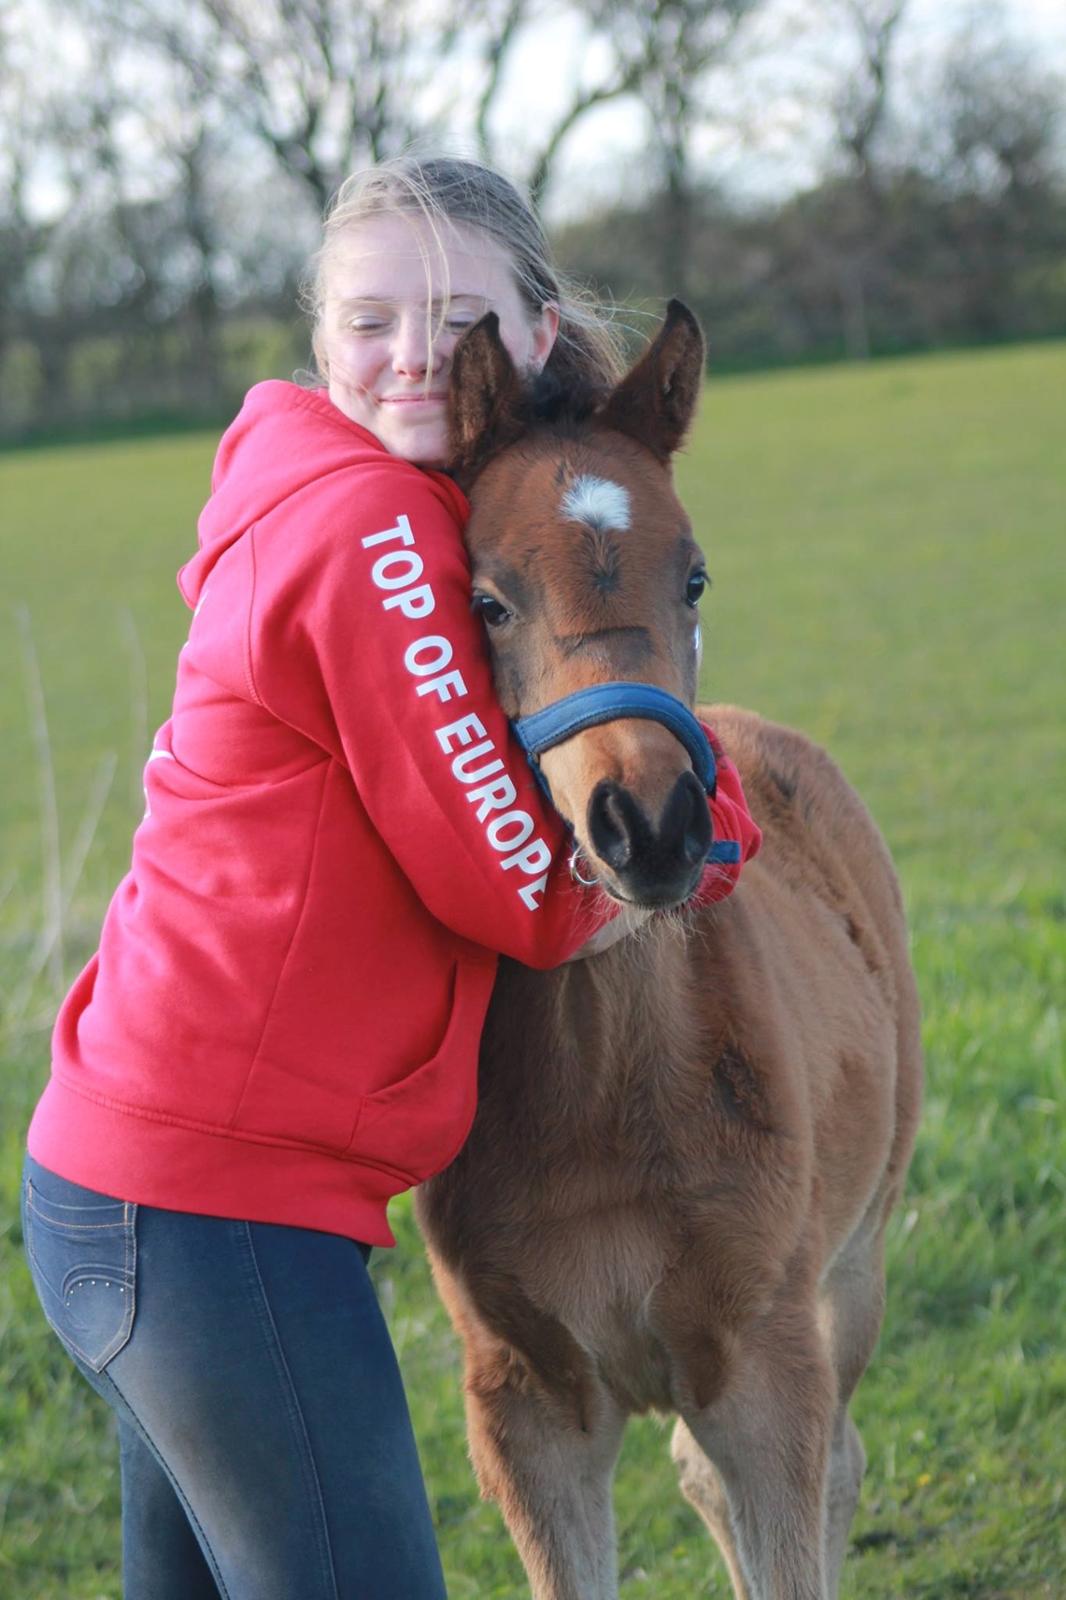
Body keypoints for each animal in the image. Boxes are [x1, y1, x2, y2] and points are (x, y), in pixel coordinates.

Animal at [416, 302, 921, 1600]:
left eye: (693, 574)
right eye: (485, 600)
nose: (648, 822)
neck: (606, 1088)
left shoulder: (764, 1363)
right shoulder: (525, 1406)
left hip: (855, 1262)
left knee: (837, 1460)